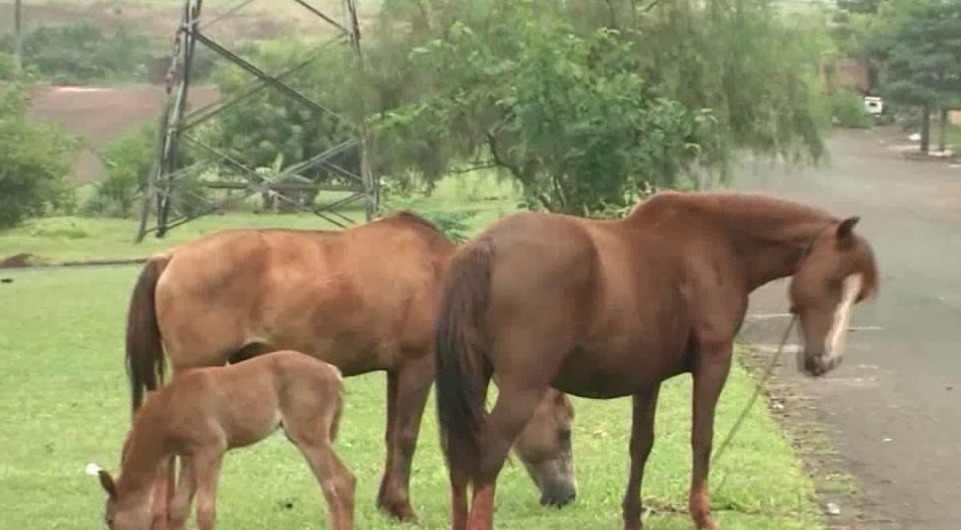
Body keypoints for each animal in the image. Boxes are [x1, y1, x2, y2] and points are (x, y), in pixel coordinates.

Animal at [89, 350, 352, 528]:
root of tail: (333, 371)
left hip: (310, 436)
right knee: (330, 487)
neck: (169, 407)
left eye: (110, 519)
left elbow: (205, 510)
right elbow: (178, 508)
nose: (109, 519)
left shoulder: (212, 448)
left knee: (343, 481)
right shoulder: (190, 455)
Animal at [125, 209, 576, 524]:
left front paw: (388, 504)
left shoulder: (396, 371)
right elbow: (407, 437)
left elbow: (392, 435)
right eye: (564, 430)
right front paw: (402, 507)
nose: (567, 496)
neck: (447, 276)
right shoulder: (419, 366)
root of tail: (171, 256)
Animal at [434, 191, 876, 528]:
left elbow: (640, 445)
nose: (825, 360)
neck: (716, 246)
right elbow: (702, 439)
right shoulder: (714, 362)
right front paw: (703, 516)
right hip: (521, 387)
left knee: (459, 455)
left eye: (859, 294)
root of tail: (487, 246)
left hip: (474, 377)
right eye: (833, 282)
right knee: (487, 456)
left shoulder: (647, 377)